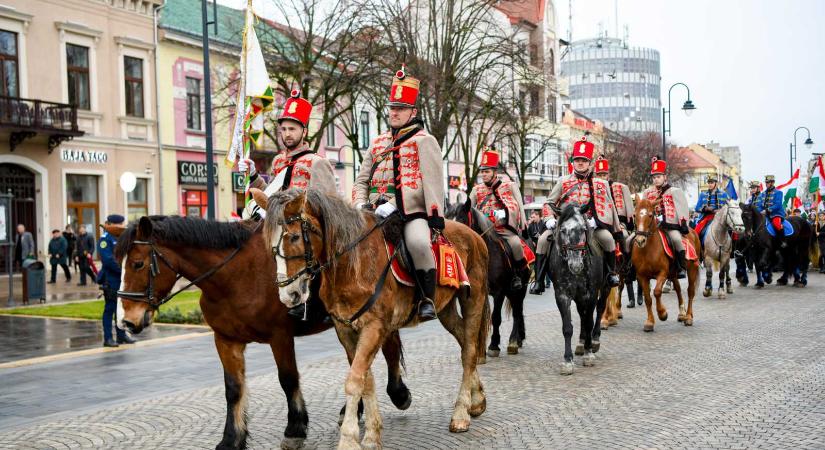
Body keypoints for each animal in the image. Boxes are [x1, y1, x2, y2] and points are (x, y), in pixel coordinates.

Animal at [114, 216, 410, 448]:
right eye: (119, 263)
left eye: (138, 264)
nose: (126, 321)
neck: (235, 277)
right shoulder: (226, 340)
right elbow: (233, 389)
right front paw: (232, 438)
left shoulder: (280, 337)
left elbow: (288, 379)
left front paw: (295, 428)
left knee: (387, 348)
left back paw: (398, 393)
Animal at [258, 189, 490, 450]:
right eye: (269, 244)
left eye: (295, 236)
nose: (289, 295)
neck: (352, 263)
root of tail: (474, 236)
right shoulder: (346, 329)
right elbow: (365, 379)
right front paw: (371, 435)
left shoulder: (374, 327)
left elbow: (354, 380)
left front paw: (349, 439)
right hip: (446, 308)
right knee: (464, 341)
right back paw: (477, 400)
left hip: (473, 299)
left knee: (469, 351)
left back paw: (460, 414)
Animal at [444, 199, 528, 356]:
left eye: (461, 219)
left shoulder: (499, 292)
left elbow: (495, 318)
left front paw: (493, 345)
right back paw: (519, 339)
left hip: (520, 290)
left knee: (517, 312)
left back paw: (514, 341)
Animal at [548, 206, 612, 374]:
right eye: (563, 230)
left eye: (583, 229)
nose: (575, 264)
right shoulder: (562, 295)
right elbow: (567, 327)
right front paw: (567, 360)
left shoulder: (591, 294)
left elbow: (589, 321)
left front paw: (588, 354)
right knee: (582, 314)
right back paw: (582, 342)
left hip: (605, 287)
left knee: (599, 309)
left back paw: (594, 340)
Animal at [628, 199, 700, 332]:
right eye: (635, 215)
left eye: (650, 215)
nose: (640, 240)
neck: (648, 250)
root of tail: (692, 231)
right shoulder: (642, 276)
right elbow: (648, 298)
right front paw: (650, 322)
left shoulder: (662, 273)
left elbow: (657, 292)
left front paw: (662, 314)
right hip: (673, 273)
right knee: (678, 289)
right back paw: (682, 314)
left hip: (692, 269)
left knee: (690, 291)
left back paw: (688, 317)